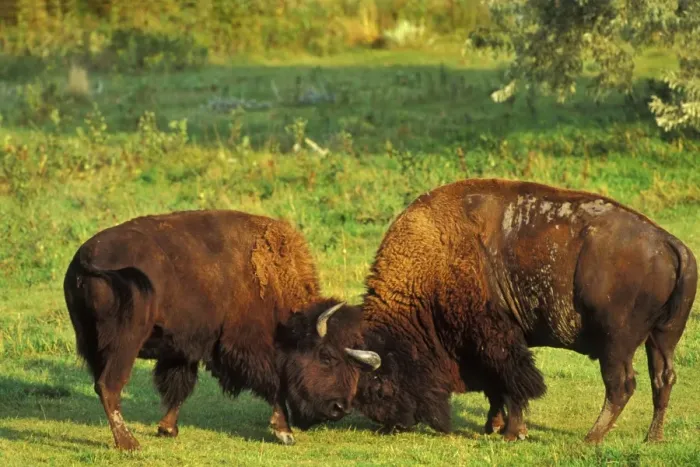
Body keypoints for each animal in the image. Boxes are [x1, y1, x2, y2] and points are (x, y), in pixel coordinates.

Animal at [63, 209, 381, 450]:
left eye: (356, 366)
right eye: (326, 356)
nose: (340, 408)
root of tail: (87, 257)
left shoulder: (184, 348)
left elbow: (180, 386)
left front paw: (168, 429)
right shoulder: (250, 348)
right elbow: (275, 385)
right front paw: (284, 432)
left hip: (91, 340)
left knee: (101, 383)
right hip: (126, 342)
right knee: (109, 385)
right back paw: (129, 444)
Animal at [321, 179, 697, 443]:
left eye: (378, 385)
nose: (392, 423)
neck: (434, 258)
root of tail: (670, 244)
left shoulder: (498, 340)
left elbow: (513, 383)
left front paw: (512, 432)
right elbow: (496, 388)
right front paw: (494, 426)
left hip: (615, 344)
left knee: (621, 385)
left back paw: (591, 438)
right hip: (661, 338)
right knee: (663, 379)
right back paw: (652, 439)